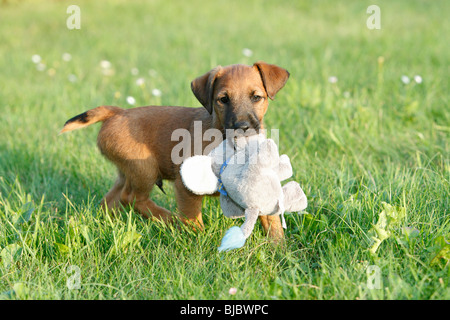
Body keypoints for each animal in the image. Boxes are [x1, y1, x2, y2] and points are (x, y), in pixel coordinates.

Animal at [61, 60, 290, 240]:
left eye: (256, 97)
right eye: (223, 99)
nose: (243, 127)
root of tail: (118, 112)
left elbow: (273, 224)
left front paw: (279, 251)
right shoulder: (186, 186)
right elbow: (193, 220)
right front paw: (199, 242)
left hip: (127, 171)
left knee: (111, 200)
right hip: (145, 168)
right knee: (132, 198)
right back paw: (169, 219)